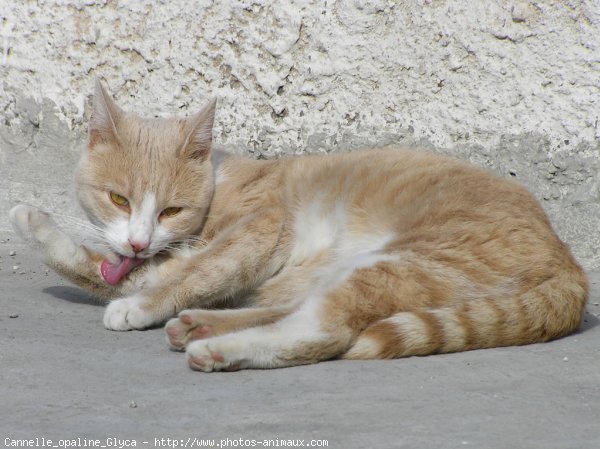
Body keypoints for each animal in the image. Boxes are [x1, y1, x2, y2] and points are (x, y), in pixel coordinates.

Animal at [9, 80, 588, 372]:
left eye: (171, 209)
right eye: (118, 199)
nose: (138, 238)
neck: (221, 180)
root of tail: (570, 264)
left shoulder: (261, 231)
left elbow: (188, 275)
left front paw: (137, 306)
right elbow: (116, 271)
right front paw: (37, 224)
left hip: (408, 261)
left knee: (325, 330)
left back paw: (218, 348)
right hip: (353, 270)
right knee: (299, 308)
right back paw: (204, 326)